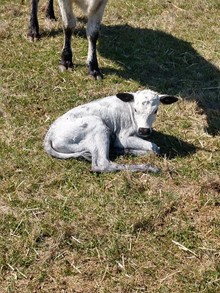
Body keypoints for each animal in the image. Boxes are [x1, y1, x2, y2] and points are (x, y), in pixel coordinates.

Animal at [43, 89, 178, 171]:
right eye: (135, 109)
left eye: (155, 111)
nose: (144, 130)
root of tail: (49, 134)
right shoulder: (123, 137)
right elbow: (154, 147)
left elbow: (155, 149)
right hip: (98, 126)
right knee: (102, 164)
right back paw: (148, 167)